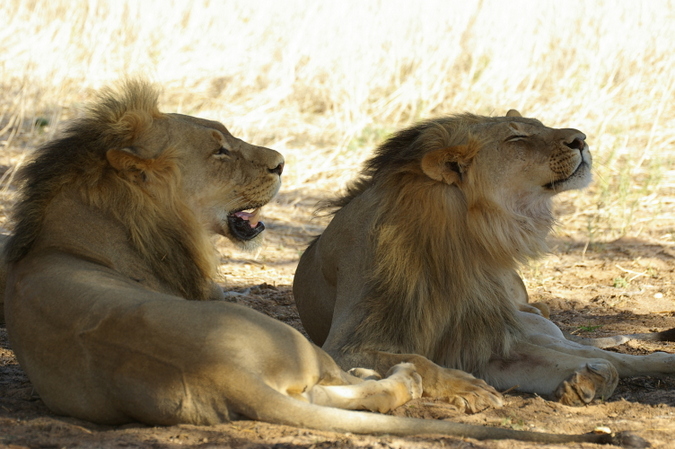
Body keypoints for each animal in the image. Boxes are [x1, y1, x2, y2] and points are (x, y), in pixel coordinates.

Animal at [294, 108, 675, 410]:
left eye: (539, 125)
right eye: (517, 137)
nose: (581, 139)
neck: (459, 237)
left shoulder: (484, 342)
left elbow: (601, 364)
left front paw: (582, 381)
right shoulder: (344, 347)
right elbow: (418, 360)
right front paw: (467, 388)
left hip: (528, 327)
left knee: (606, 357)